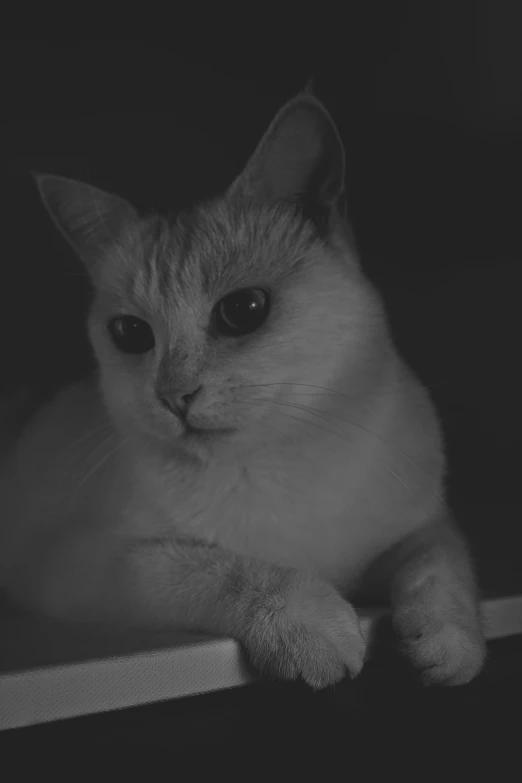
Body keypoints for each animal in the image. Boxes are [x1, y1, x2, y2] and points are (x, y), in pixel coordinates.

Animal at [0, 92, 484, 688]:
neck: (284, 462)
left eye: (244, 309)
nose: (174, 396)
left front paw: (449, 644)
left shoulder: (427, 521)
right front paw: (308, 626)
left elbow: (439, 567)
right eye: (130, 334)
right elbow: (221, 567)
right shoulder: (89, 565)